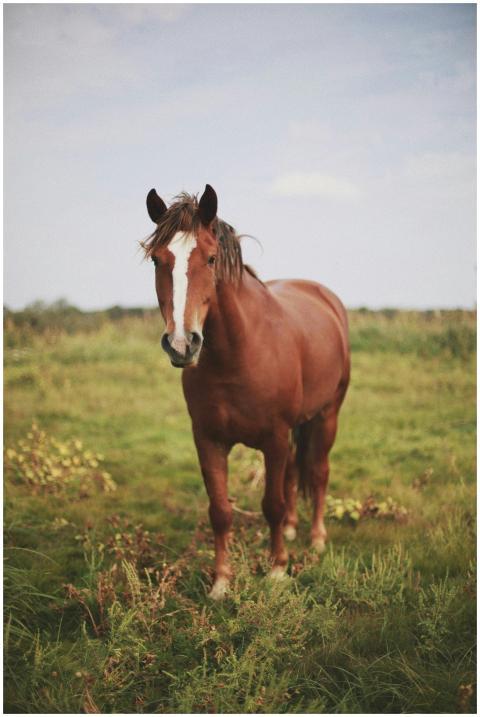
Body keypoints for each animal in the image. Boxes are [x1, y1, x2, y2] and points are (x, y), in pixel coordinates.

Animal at [143, 184, 350, 599]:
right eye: (158, 260)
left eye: (210, 259)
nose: (181, 344)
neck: (237, 355)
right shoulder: (208, 440)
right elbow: (220, 511)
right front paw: (221, 582)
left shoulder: (273, 438)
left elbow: (271, 503)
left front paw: (277, 571)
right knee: (293, 474)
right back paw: (292, 529)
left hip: (327, 415)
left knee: (318, 472)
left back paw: (316, 539)